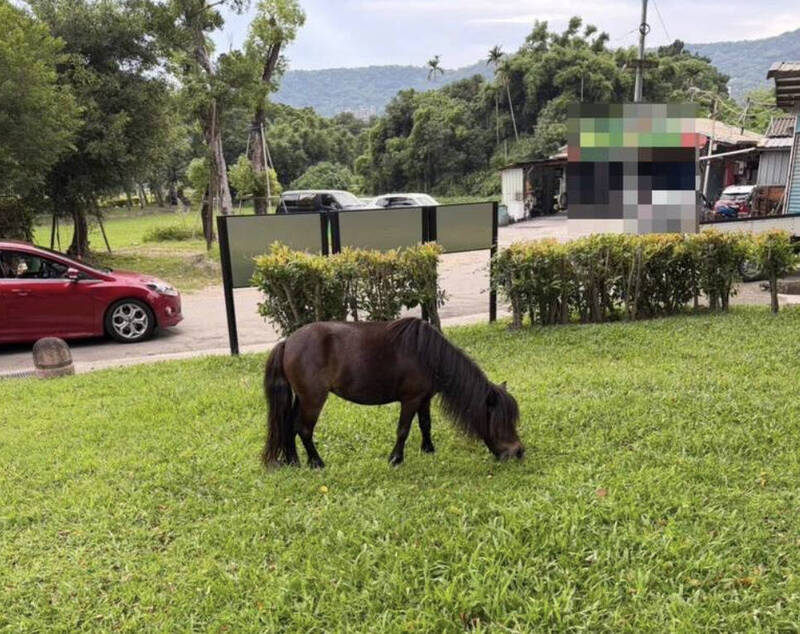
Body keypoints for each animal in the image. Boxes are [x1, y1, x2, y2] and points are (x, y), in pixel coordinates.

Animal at [261, 317, 524, 468]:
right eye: (499, 423)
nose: (518, 452)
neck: (429, 356)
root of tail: (287, 342)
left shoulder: (424, 399)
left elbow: (425, 424)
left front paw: (428, 449)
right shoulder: (411, 399)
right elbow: (403, 430)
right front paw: (396, 459)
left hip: (302, 398)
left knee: (288, 424)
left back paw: (293, 461)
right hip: (313, 399)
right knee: (303, 429)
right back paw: (316, 462)